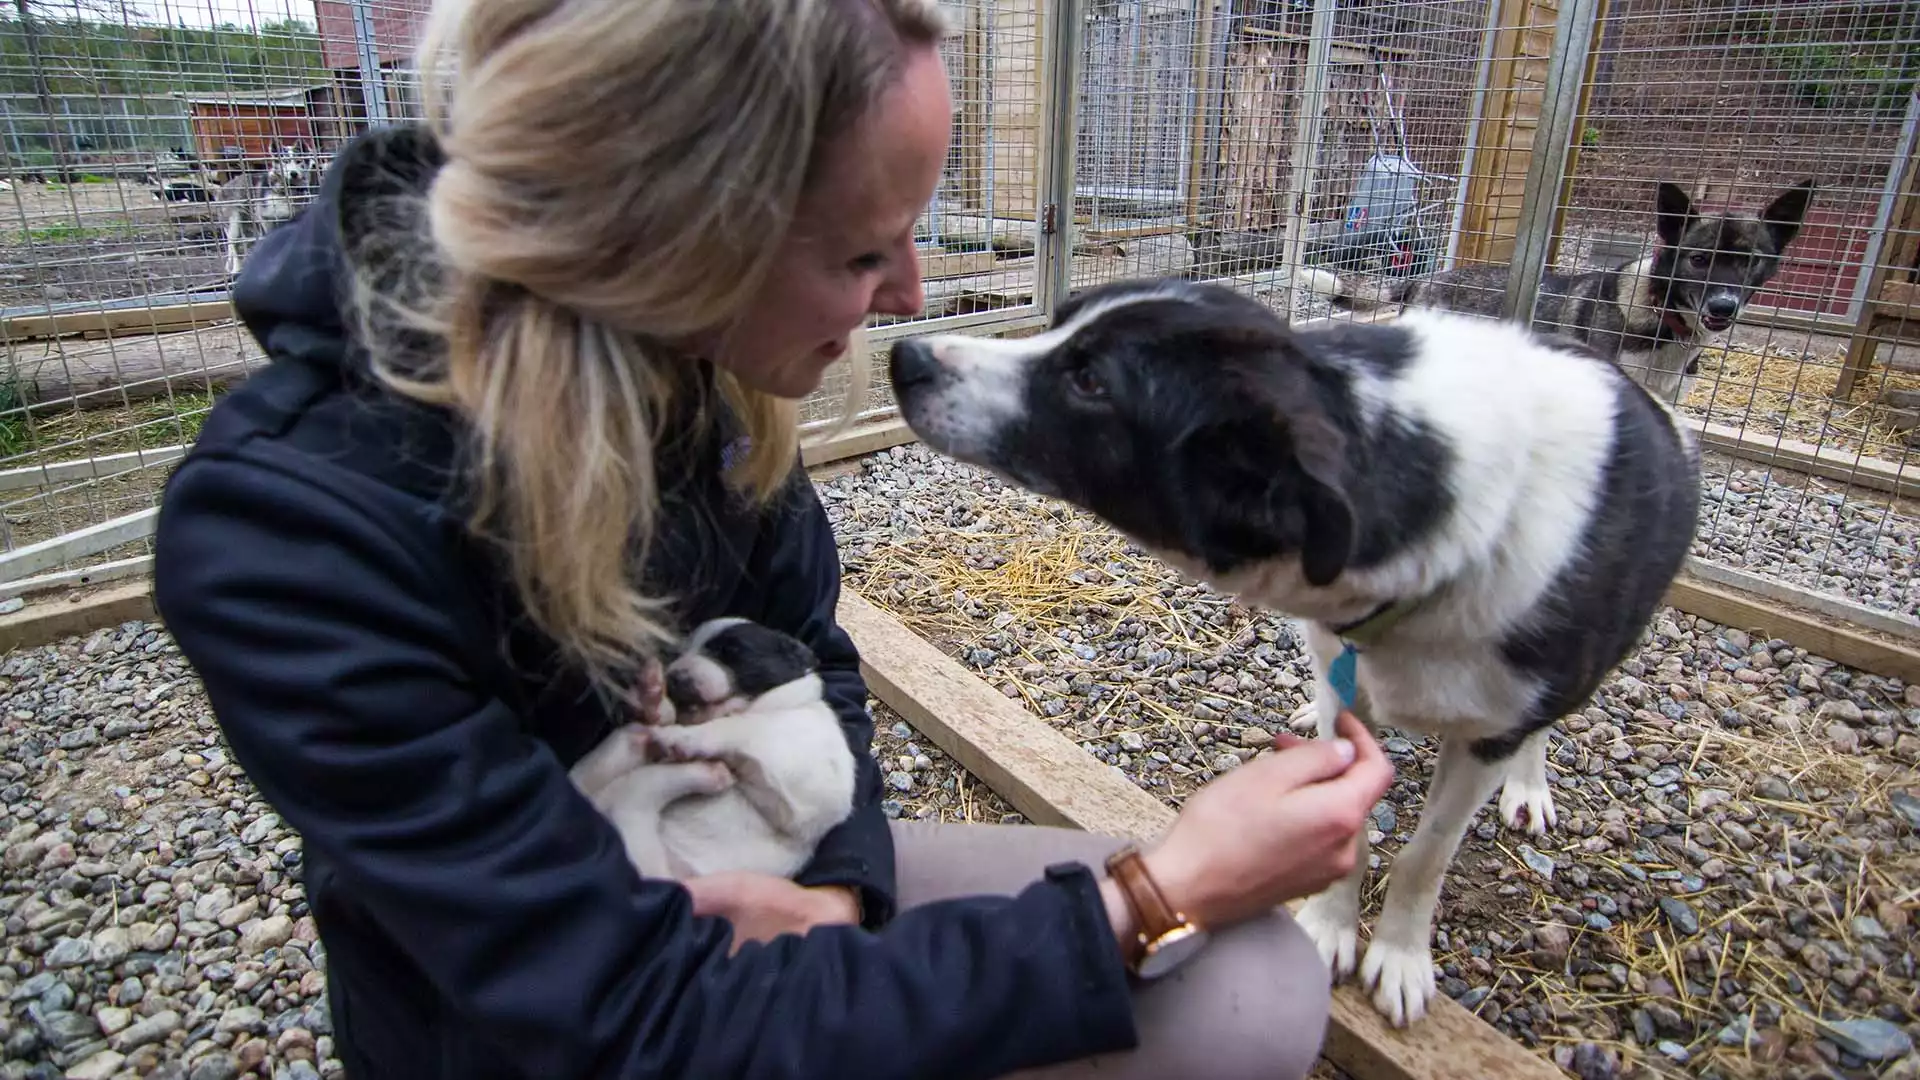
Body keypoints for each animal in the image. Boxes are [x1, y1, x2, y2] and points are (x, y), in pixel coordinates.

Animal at [564, 614, 860, 883]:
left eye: (730, 651)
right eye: (677, 654)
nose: (673, 677)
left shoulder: (809, 790)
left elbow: (746, 727)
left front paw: (683, 737)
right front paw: (658, 705)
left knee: (637, 794)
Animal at [879, 278, 1697, 1022]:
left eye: (1089, 380)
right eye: (1060, 320)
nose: (904, 355)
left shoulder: (1491, 719)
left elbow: (1426, 853)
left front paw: (1398, 957)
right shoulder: (1346, 667)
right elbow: (1353, 819)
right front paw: (1331, 926)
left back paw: (1528, 783)